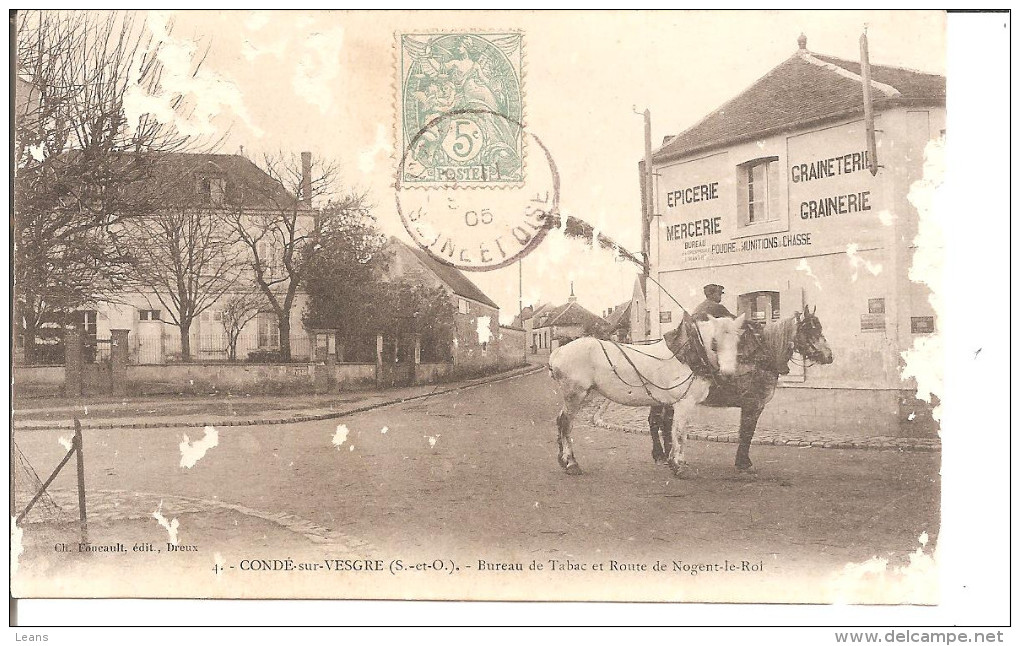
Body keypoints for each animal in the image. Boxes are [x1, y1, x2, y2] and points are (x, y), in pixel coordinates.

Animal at [550, 314, 742, 475]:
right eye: (714, 343)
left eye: (738, 341)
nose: (728, 373)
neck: (687, 354)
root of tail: (558, 352)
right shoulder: (684, 402)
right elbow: (679, 432)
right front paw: (679, 466)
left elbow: (675, 430)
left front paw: (673, 461)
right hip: (575, 395)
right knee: (566, 424)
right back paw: (571, 464)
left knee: (561, 420)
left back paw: (563, 460)